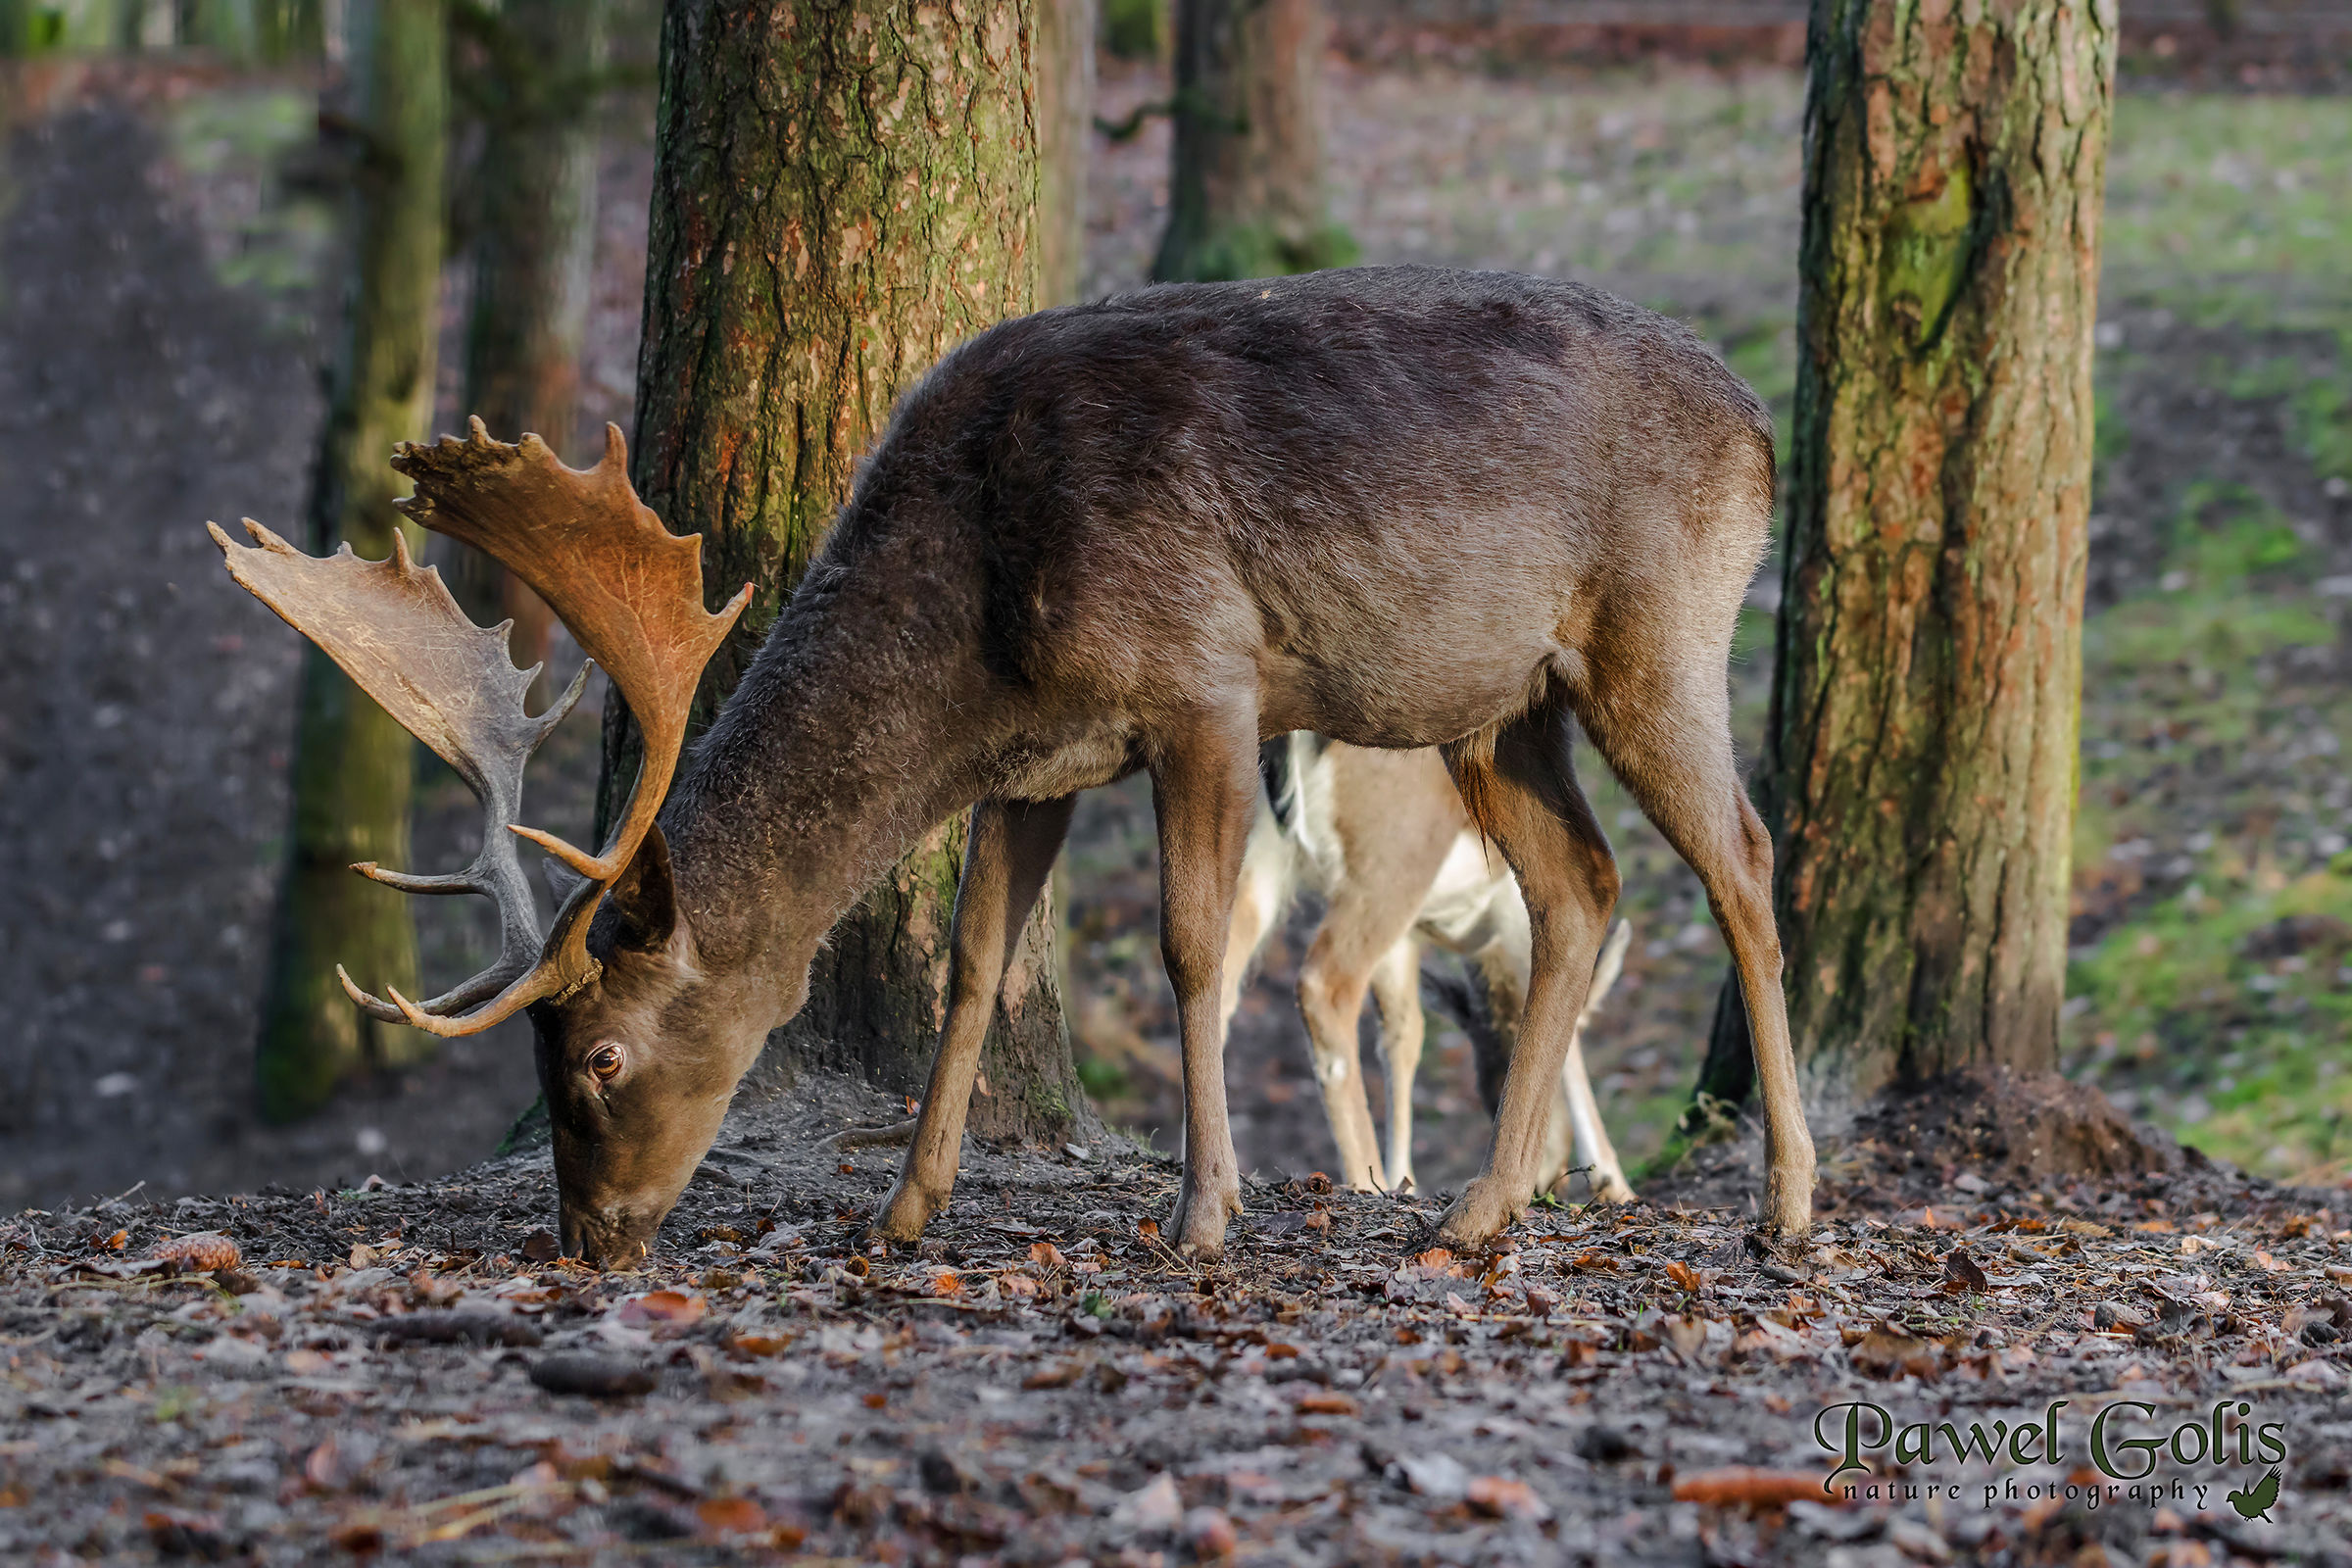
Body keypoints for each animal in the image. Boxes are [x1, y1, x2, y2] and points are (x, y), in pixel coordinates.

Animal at [1222, 733, 1639, 1202]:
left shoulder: (1407, 940)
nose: (1547, 1178)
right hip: (1388, 868)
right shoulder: (1513, 913)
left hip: (1261, 853)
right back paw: (1361, 1179)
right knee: (1325, 986)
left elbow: (1403, 1039)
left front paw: (1404, 1181)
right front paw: (1615, 1184)